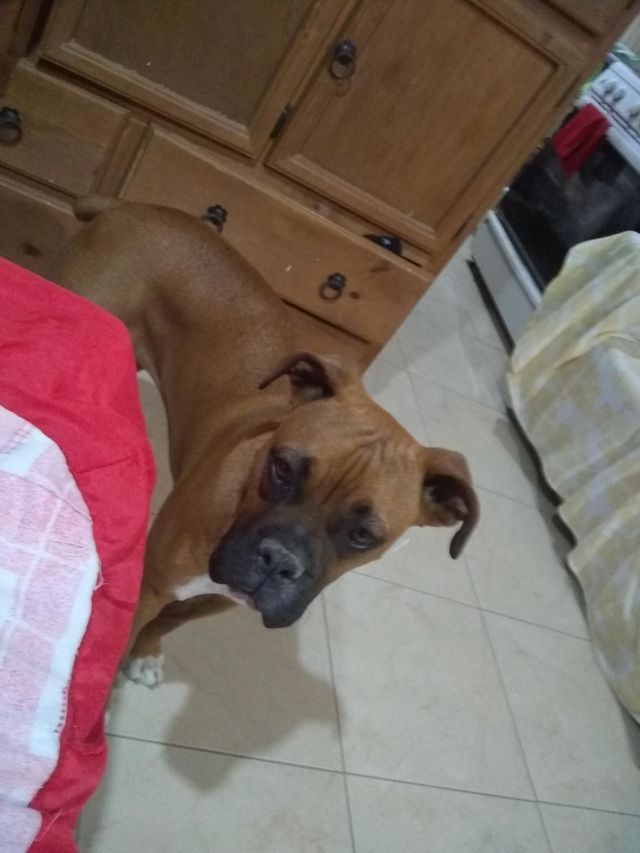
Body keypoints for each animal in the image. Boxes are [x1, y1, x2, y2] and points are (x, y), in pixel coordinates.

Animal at [52, 197, 479, 687]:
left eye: (364, 536)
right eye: (281, 468)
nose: (279, 560)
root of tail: (132, 205)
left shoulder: (211, 599)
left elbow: (168, 622)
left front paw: (144, 653)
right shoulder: (151, 587)